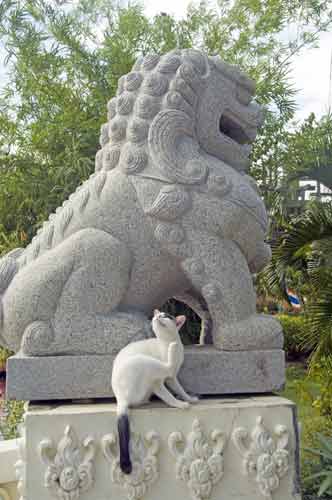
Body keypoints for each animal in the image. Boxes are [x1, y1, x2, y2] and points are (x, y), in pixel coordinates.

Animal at [113, 308, 198, 472]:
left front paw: (189, 398)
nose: (158, 316)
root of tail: (120, 398)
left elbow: (180, 390)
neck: (166, 341)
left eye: (166, 316)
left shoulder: (172, 379)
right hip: (145, 362)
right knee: (167, 367)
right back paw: (172, 350)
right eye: (158, 315)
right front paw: (181, 404)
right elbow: (169, 397)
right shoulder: (158, 384)